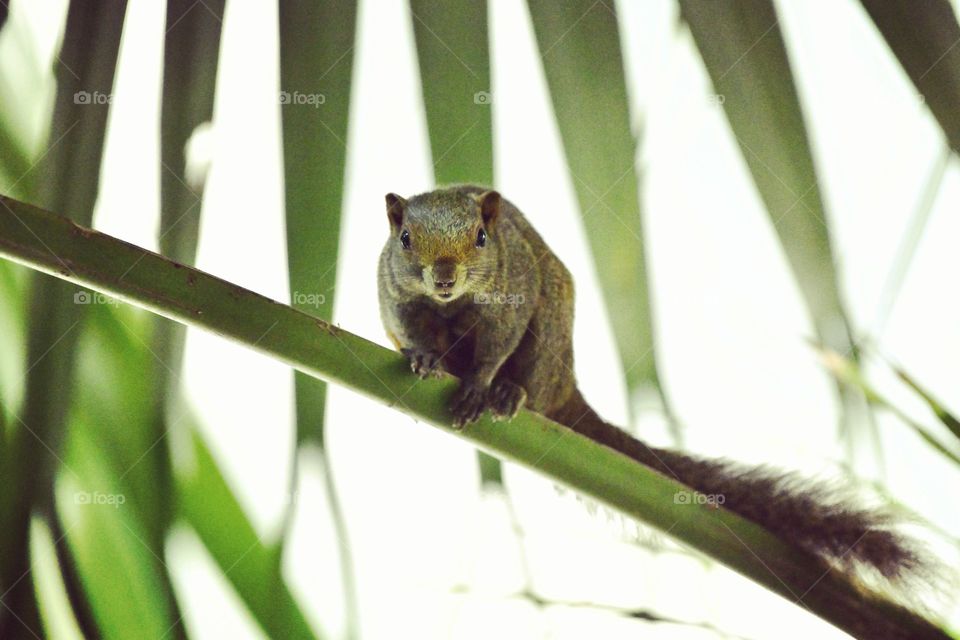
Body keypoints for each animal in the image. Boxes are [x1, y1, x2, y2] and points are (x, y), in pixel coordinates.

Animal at [377, 185, 934, 615]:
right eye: (405, 240)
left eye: (481, 237)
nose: (444, 276)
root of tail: (566, 387)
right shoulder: (396, 301)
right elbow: (412, 327)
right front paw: (424, 357)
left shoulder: (512, 291)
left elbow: (498, 342)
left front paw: (479, 384)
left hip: (550, 330)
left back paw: (511, 394)